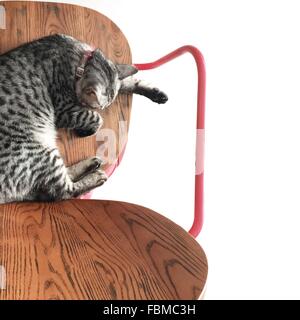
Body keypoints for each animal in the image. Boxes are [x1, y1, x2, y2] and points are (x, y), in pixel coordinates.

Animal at [0, 33, 168, 202]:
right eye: (97, 107)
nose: (101, 107)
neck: (80, 60)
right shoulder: (64, 109)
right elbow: (97, 118)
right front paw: (87, 130)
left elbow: (129, 82)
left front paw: (154, 92)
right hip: (37, 152)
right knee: (64, 192)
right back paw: (95, 176)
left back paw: (91, 164)